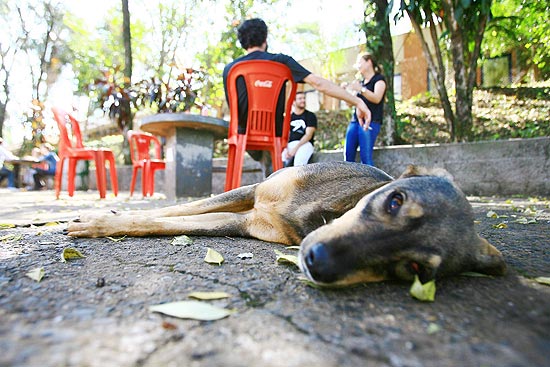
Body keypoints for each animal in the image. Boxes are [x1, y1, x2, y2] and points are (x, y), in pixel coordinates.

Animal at [66, 163, 508, 288]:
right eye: (394, 201)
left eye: (413, 269)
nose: (317, 261)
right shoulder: (252, 189)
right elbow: (174, 210)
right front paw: (99, 217)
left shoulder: (243, 222)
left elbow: (161, 221)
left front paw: (99, 222)